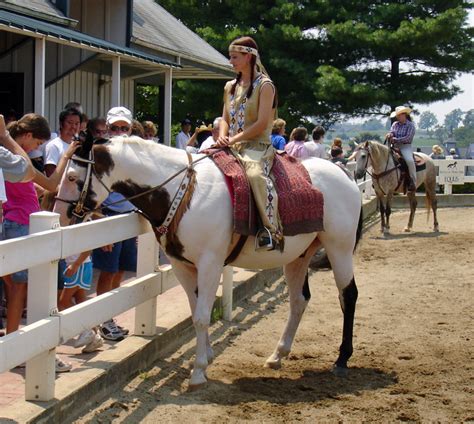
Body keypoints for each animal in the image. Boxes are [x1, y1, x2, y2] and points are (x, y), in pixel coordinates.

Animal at [53, 136, 362, 388]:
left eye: (72, 177)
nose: (60, 214)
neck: (183, 191)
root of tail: (343, 173)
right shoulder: (183, 266)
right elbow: (196, 311)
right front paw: (207, 356)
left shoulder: (210, 263)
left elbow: (202, 315)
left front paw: (199, 371)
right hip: (299, 256)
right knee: (299, 301)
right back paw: (278, 355)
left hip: (340, 248)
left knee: (348, 295)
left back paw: (341, 359)